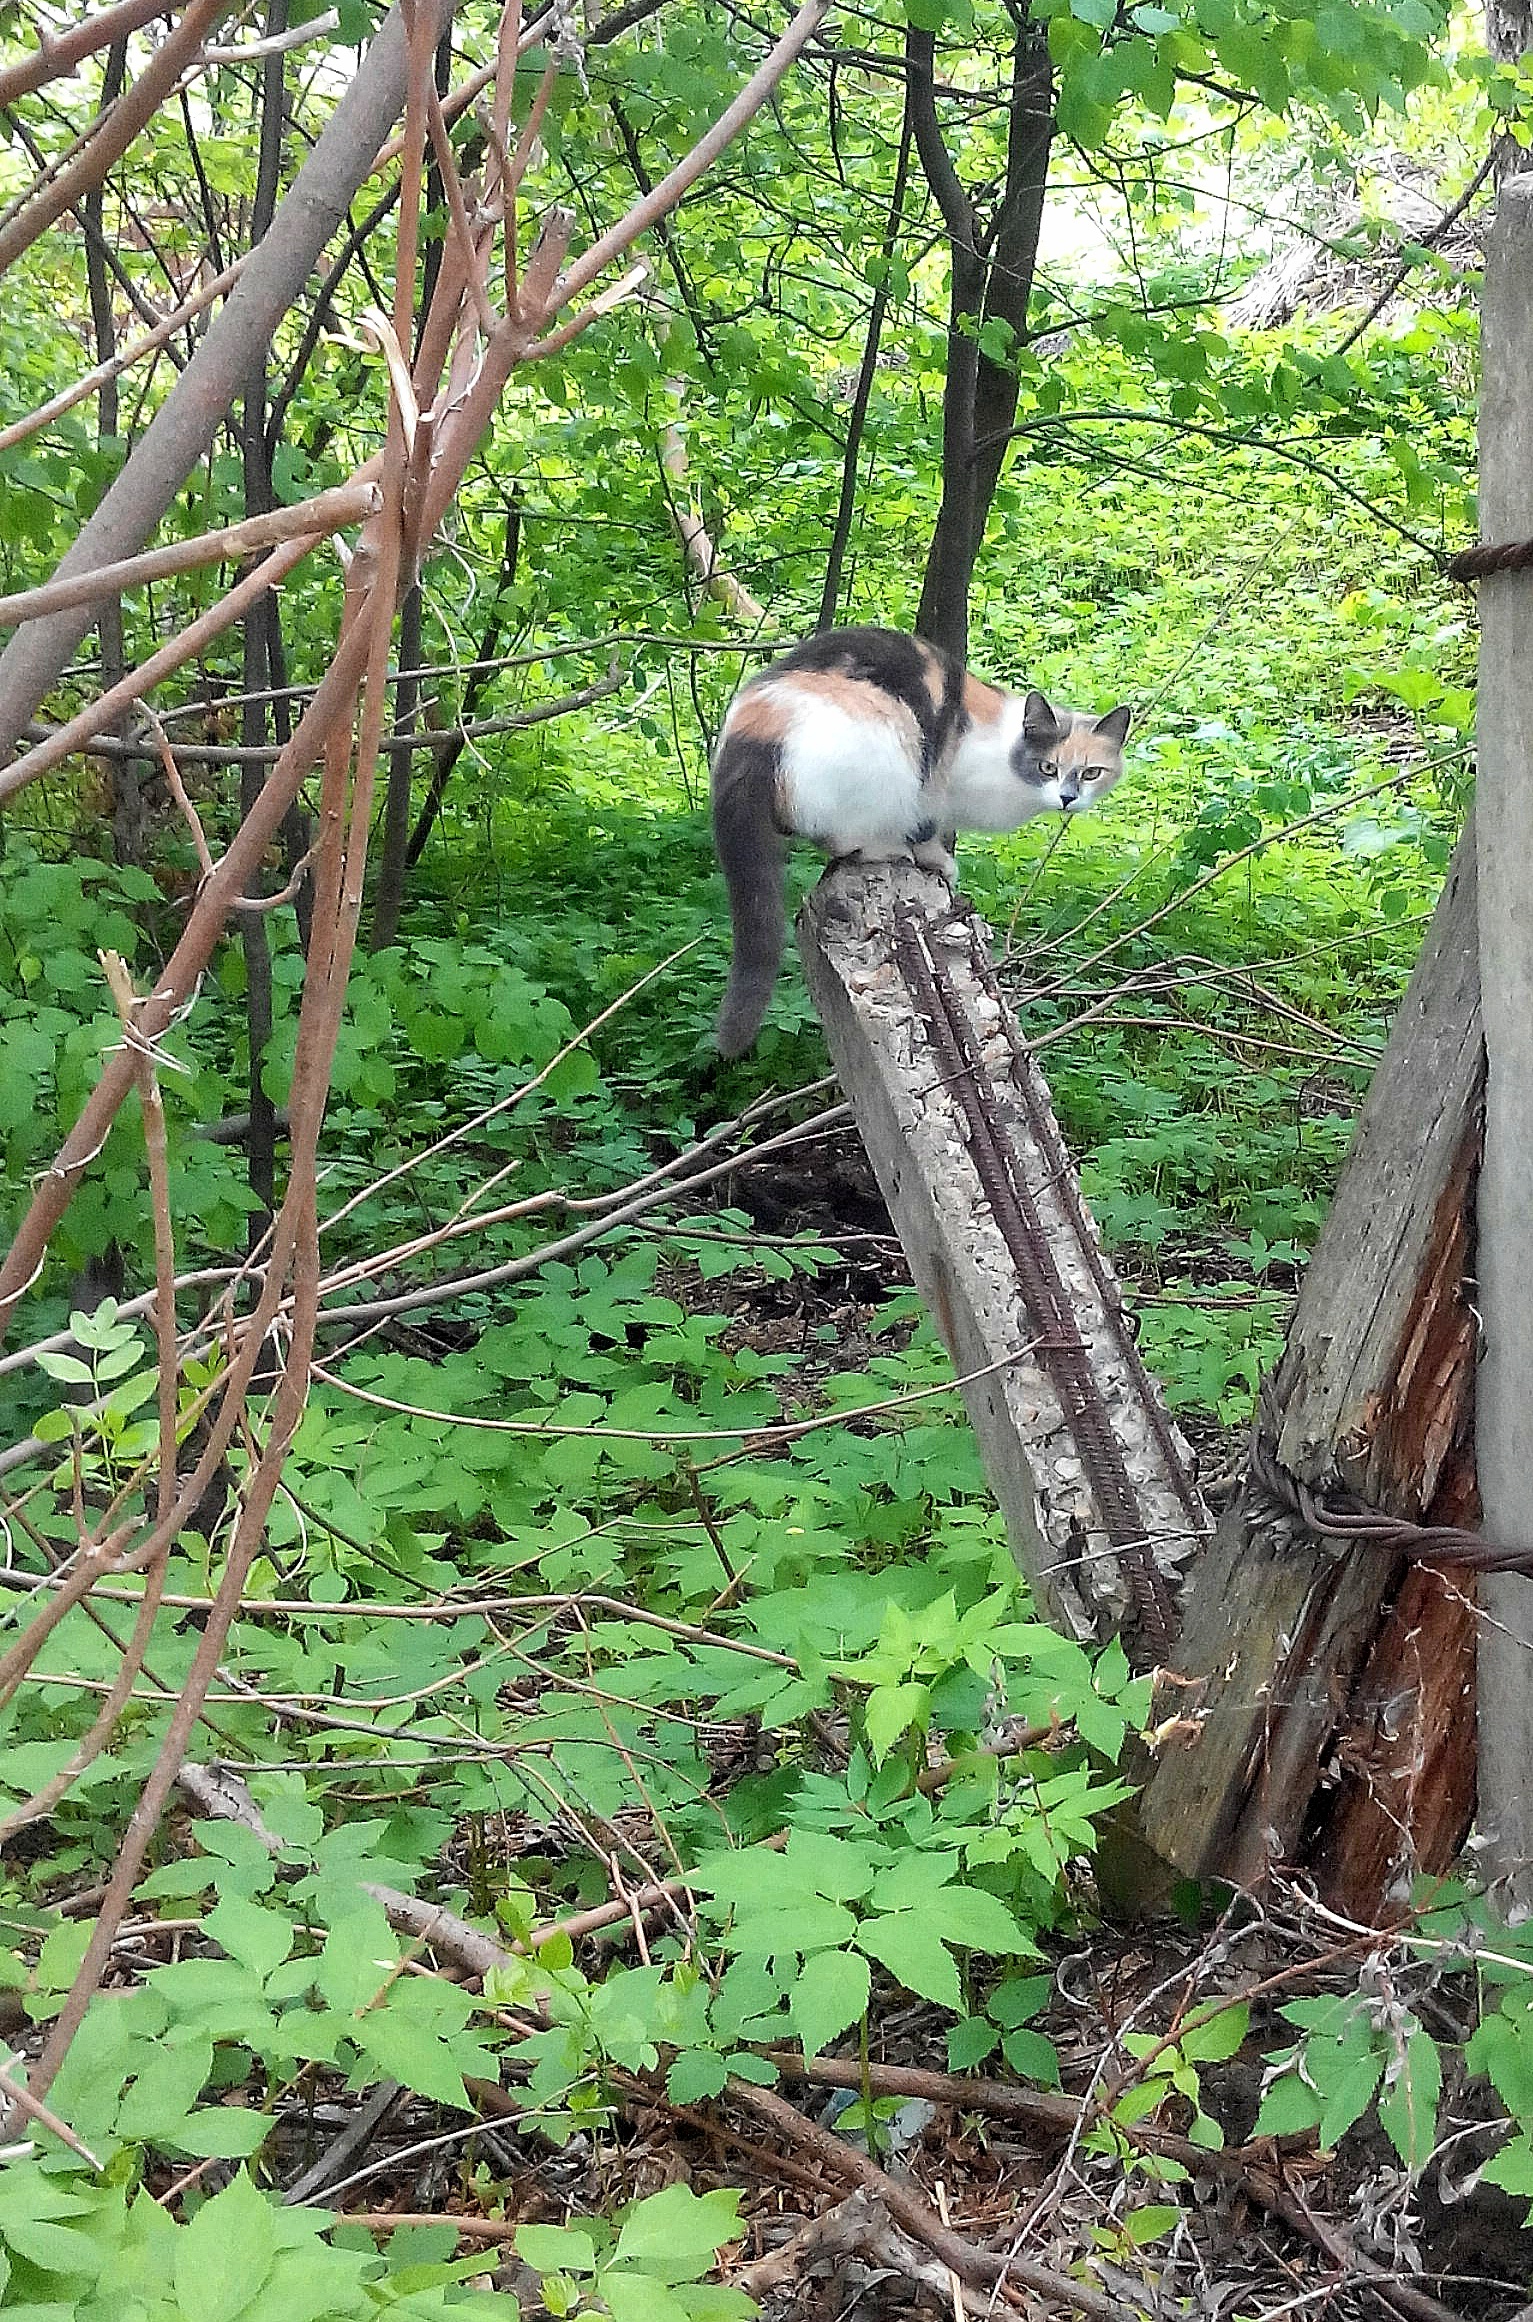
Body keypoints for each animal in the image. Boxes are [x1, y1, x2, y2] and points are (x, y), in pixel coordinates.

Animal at [710, 617, 1133, 1054]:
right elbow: (929, 830)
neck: (1006, 755)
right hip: (888, 748)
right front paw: (938, 862)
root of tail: (756, 725)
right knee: (846, 836)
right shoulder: (936, 795)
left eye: (1092, 773)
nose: (1068, 798)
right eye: (1048, 767)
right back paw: (887, 848)